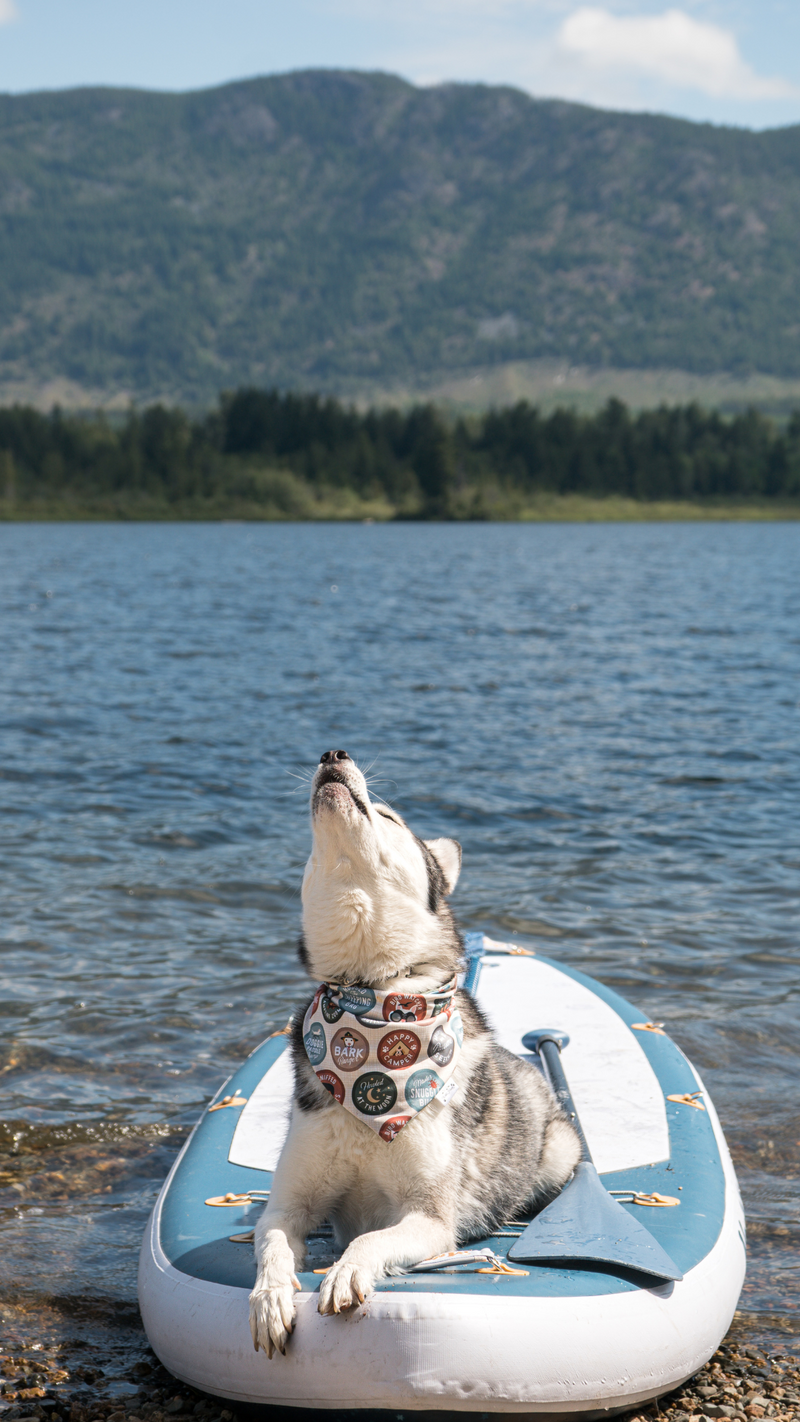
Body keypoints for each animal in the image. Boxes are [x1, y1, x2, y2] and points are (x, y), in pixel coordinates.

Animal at [247, 750, 579, 1359]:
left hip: (560, 1153)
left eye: (388, 816)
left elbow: (374, 1238)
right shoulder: (288, 1203)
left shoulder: (429, 1218)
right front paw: (271, 1299)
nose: (333, 754)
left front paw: (347, 1272)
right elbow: (276, 1242)